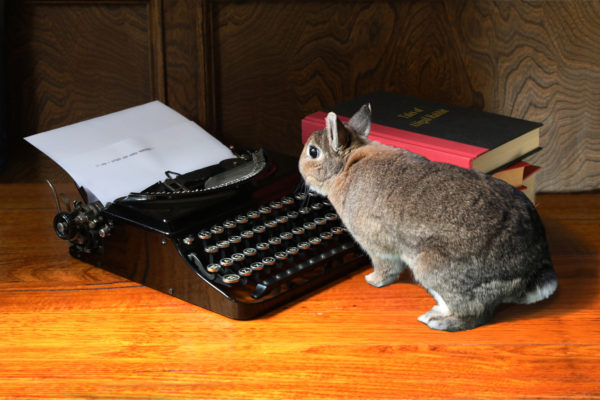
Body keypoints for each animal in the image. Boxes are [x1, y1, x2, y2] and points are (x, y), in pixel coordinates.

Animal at [298, 103, 556, 332]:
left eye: (313, 152)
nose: (300, 169)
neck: (347, 167)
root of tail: (533, 270)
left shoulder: (376, 245)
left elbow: (385, 267)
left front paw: (372, 280)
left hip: (431, 267)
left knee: (475, 313)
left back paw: (436, 321)